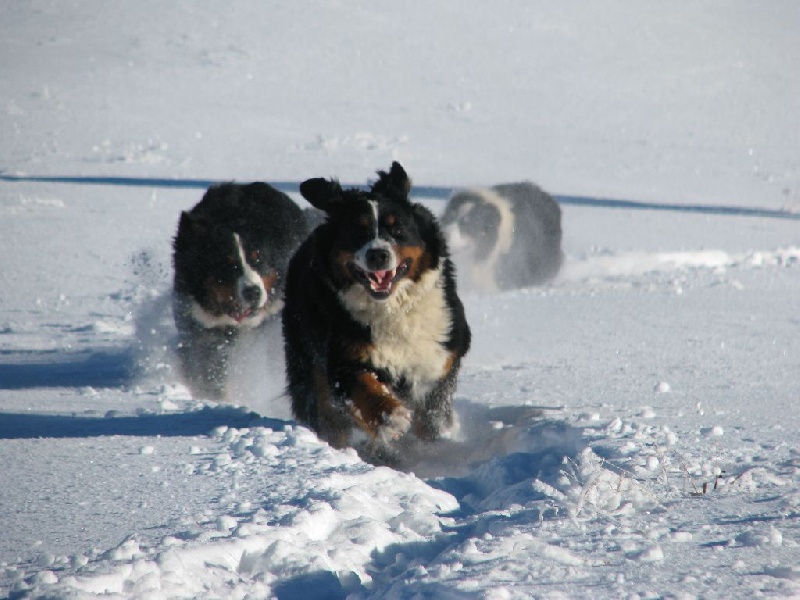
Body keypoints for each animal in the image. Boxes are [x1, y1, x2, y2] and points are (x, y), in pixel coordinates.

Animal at [282, 161, 468, 464]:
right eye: (357, 232)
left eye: (398, 230)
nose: (377, 254)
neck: (392, 310)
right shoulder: (341, 358)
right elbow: (365, 387)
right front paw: (390, 417)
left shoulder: (442, 358)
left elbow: (430, 419)